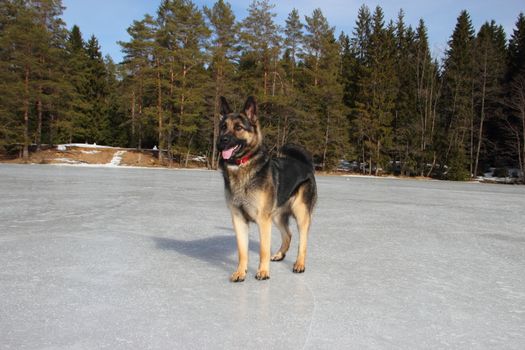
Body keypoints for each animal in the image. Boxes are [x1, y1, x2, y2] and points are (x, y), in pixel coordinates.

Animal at [216, 95, 316, 282]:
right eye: (223, 127)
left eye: (238, 127)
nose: (221, 141)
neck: (243, 165)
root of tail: (305, 164)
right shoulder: (239, 219)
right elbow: (242, 251)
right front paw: (240, 273)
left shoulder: (263, 220)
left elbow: (263, 249)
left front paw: (263, 272)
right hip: (277, 216)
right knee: (288, 235)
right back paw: (279, 255)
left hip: (300, 213)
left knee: (303, 241)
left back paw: (299, 264)